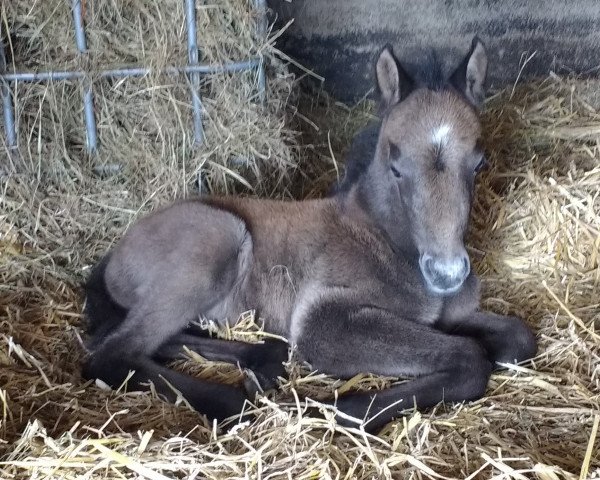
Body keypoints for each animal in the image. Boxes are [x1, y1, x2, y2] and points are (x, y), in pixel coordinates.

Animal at [83, 39, 536, 434]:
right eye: (396, 168)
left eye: (479, 163)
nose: (447, 274)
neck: (382, 240)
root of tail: (116, 253)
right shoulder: (323, 318)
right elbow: (470, 358)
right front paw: (337, 410)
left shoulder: (453, 316)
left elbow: (519, 339)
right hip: (217, 240)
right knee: (111, 354)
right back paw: (234, 400)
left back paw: (264, 360)